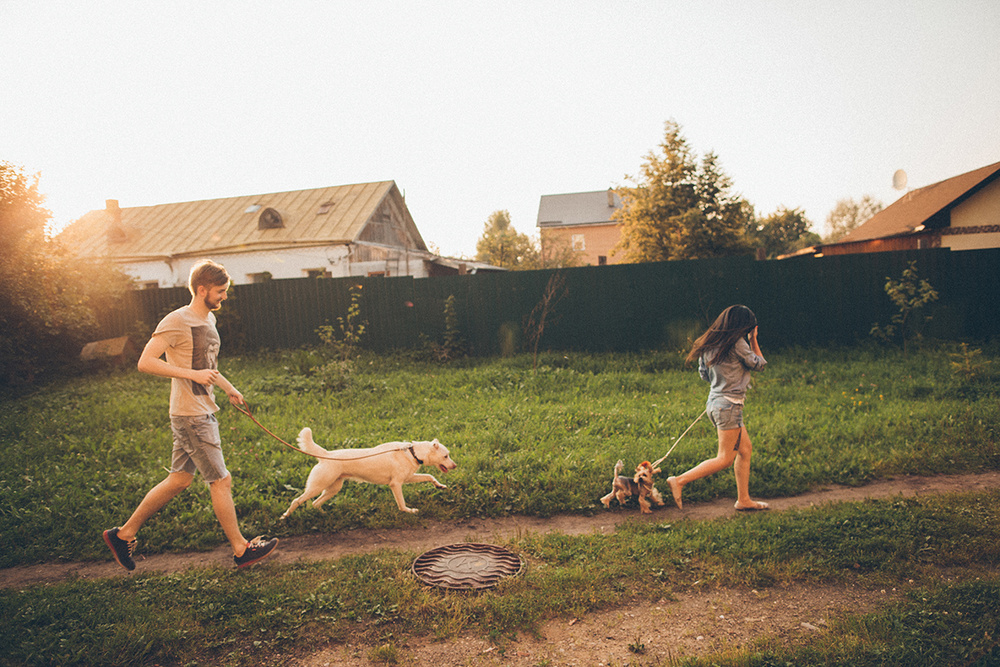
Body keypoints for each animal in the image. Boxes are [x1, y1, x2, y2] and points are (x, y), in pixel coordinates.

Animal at [278, 428, 458, 520]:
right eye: (446, 456)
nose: (455, 465)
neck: (413, 452)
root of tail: (326, 455)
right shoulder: (396, 484)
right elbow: (401, 504)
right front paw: (408, 511)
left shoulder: (408, 478)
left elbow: (430, 477)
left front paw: (440, 486)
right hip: (317, 486)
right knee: (297, 501)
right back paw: (285, 516)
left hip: (333, 488)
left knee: (315, 504)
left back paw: (323, 515)